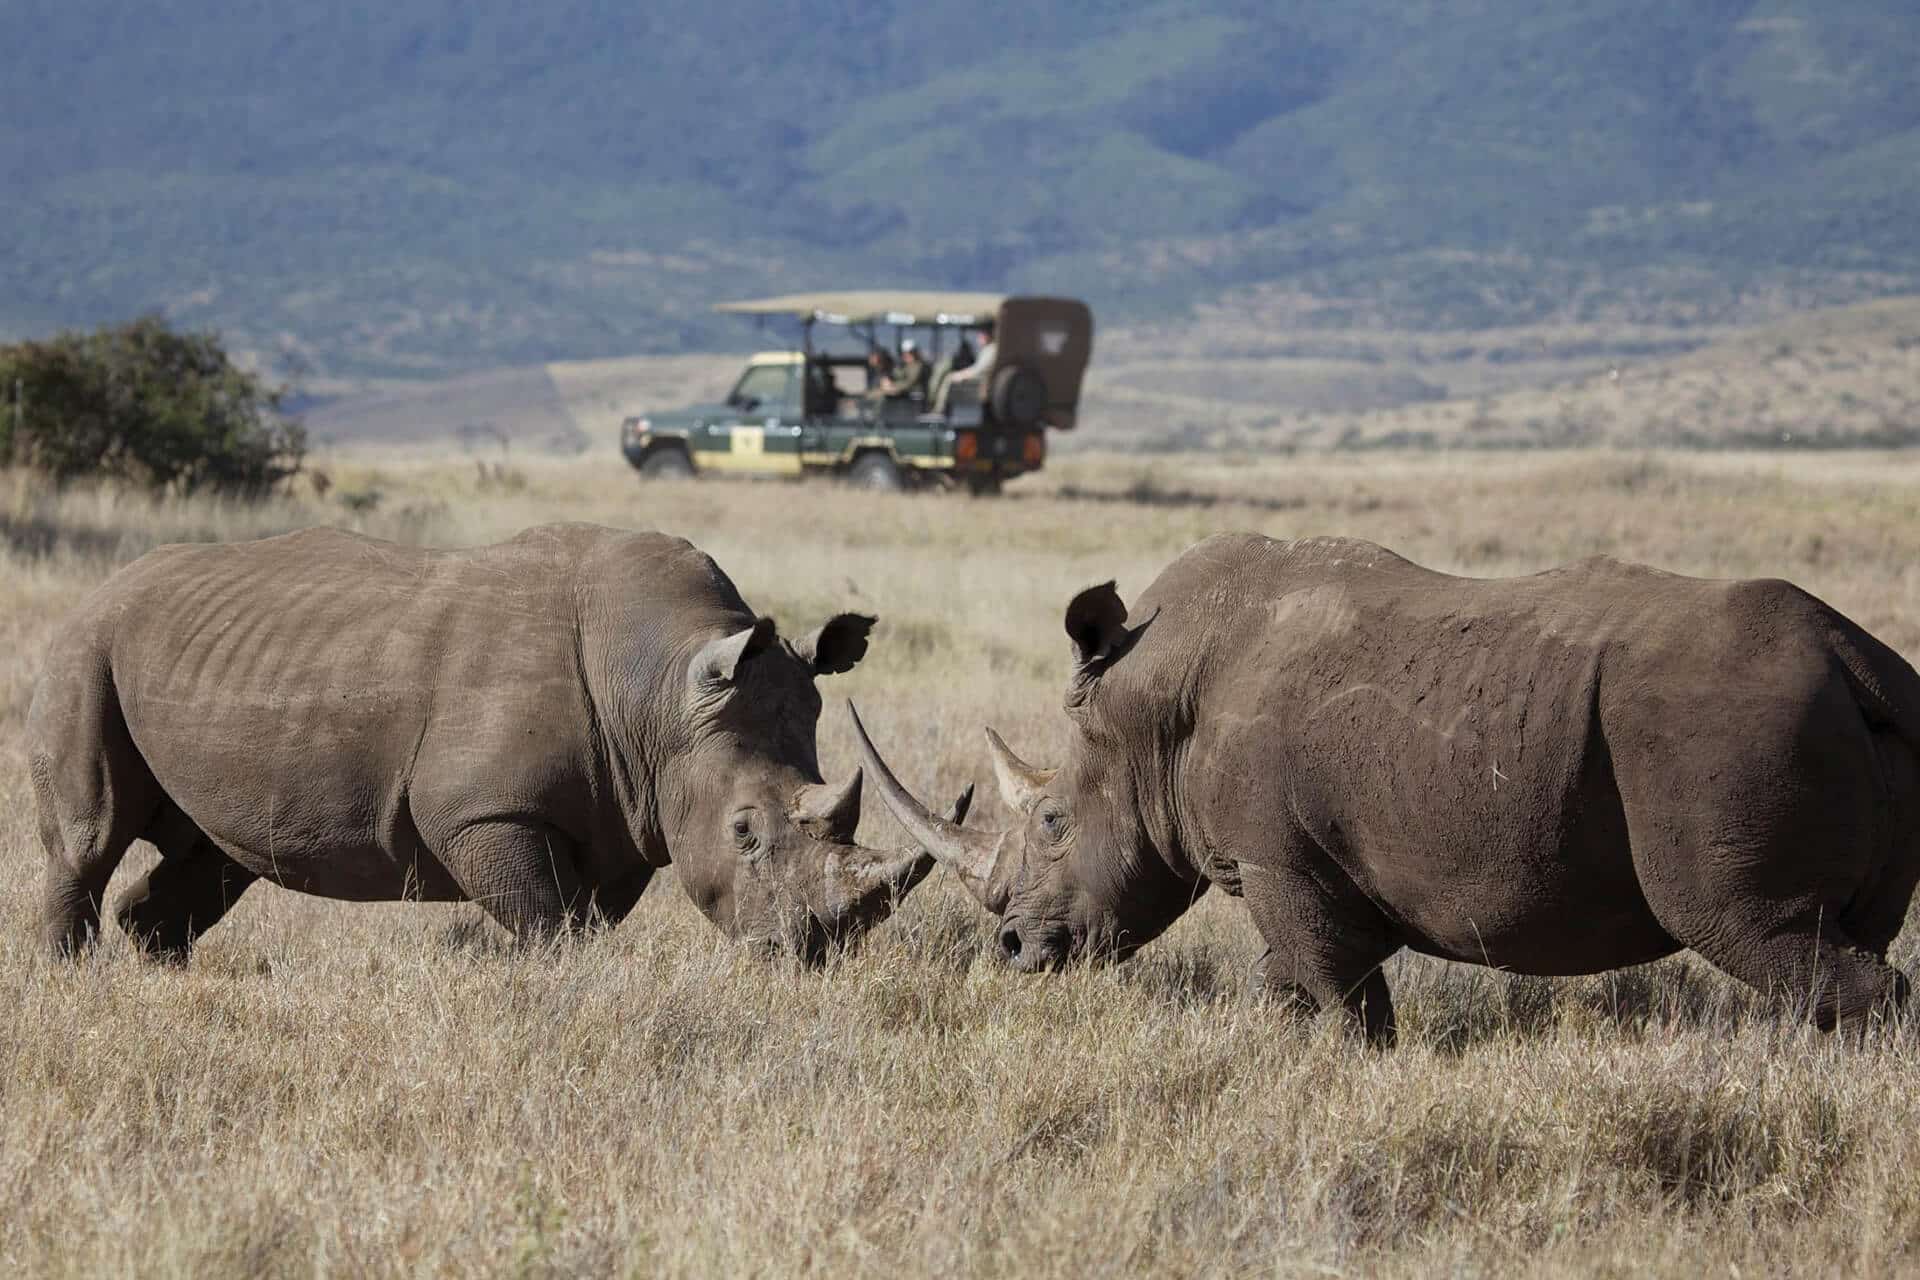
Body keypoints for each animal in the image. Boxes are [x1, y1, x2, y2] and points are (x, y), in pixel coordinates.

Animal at [30, 522, 962, 962]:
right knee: (89, 837)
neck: (661, 691)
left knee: (216, 855)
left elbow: (580, 921)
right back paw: (76, 981)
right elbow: (550, 924)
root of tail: (100, 589)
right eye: (744, 832)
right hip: (86, 649)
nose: (811, 954)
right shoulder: (483, 812)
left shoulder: (626, 815)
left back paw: (157, 965)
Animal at [855, 533, 1920, 1044]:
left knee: (1745, 924)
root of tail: (1852, 656)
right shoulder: (1300, 871)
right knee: (1835, 938)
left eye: (1051, 820)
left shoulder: (1280, 863)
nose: (1013, 948)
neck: (1148, 711)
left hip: (1722, 727)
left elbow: (1338, 996)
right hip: (1856, 709)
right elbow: (1295, 987)